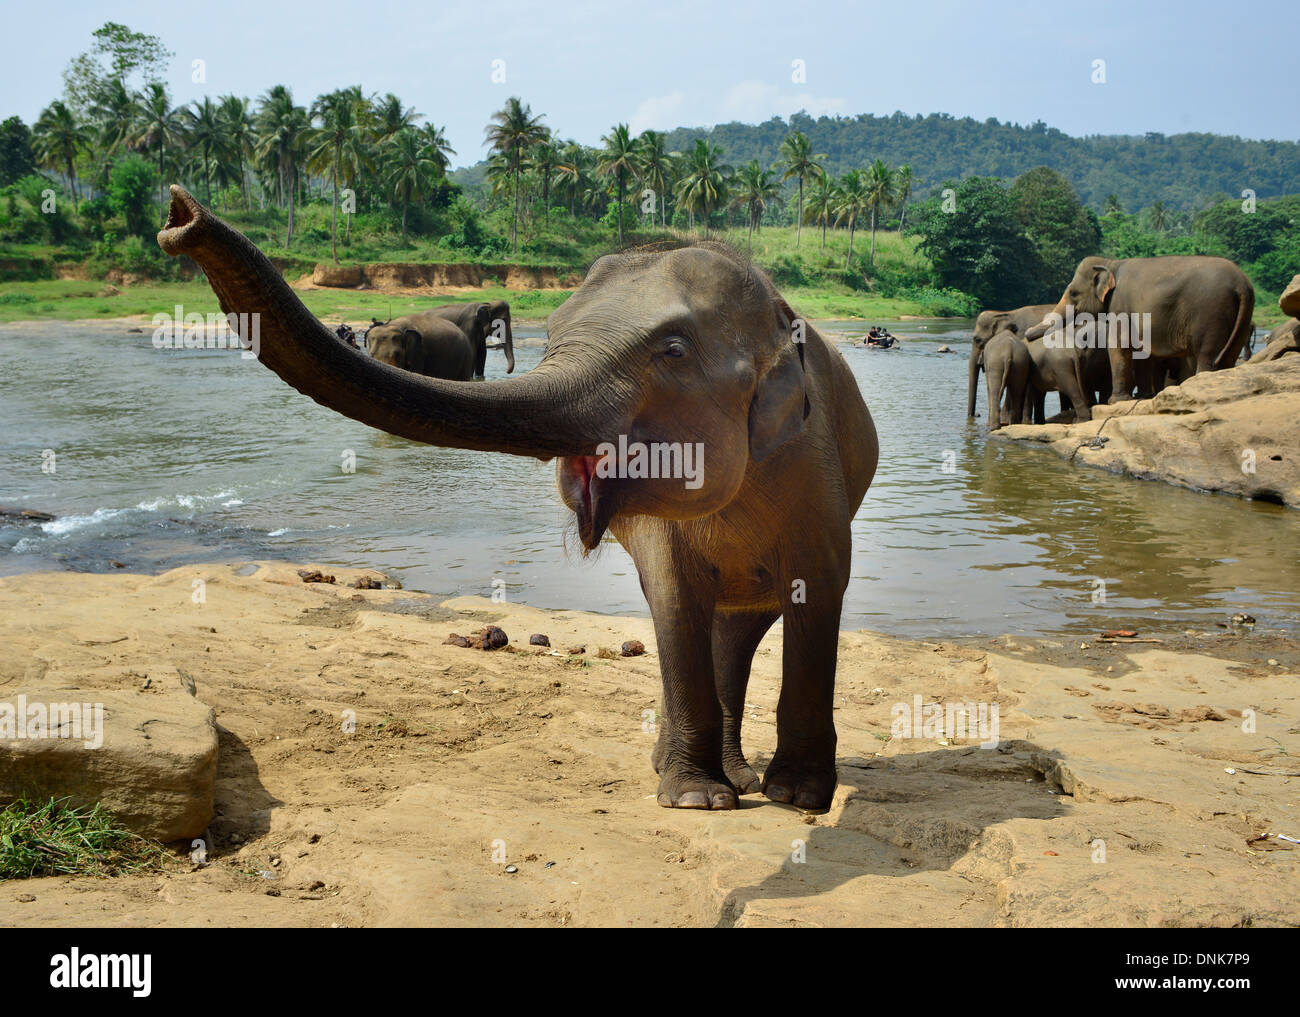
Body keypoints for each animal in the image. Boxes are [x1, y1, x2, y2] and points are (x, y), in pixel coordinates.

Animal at [158, 185, 878, 812]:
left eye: (673, 350)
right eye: (552, 333)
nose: (179, 217)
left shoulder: (815, 467)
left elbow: (819, 588)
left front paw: (798, 797)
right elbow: (673, 597)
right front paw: (697, 801)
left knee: (741, 626)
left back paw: (748, 780)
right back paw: (711, 777)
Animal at [1024, 256, 1255, 402]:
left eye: (1073, 293)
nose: (1026, 336)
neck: (1111, 263)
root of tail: (1242, 283)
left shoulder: (1120, 306)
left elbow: (1119, 345)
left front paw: (1115, 401)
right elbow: (1142, 351)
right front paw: (1142, 397)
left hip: (1210, 313)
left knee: (1207, 354)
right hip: (1243, 315)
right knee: (1227, 357)